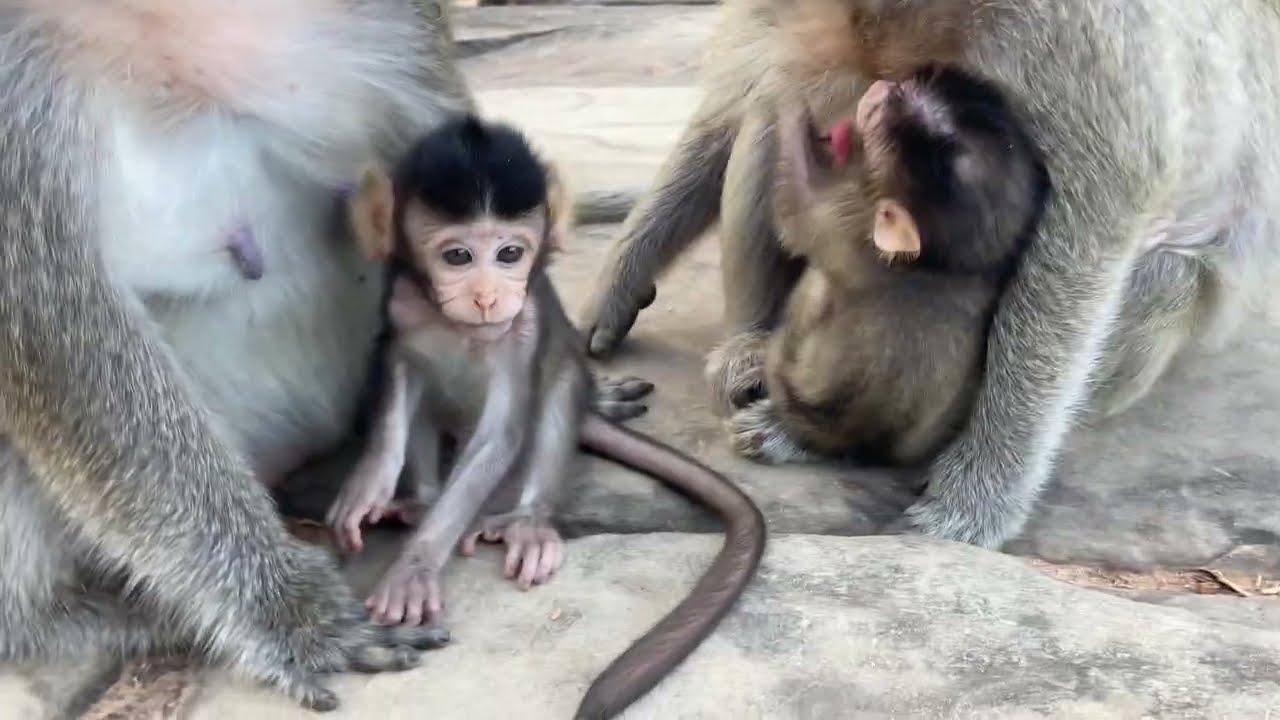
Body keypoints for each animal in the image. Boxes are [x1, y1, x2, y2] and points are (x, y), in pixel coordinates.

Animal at [329, 113, 766, 720]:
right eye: (457, 257)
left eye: (510, 254)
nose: (488, 298)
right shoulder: (401, 308)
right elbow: (399, 374)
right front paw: (369, 484)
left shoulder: (527, 323)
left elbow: (502, 435)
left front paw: (412, 570)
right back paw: (420, 502)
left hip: (558, 387)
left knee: (555, 395)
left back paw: (528, 522)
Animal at [722, 64, 1050, 468]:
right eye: (907, 91)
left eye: (882, 118)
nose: (886, 90)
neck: (937, 263)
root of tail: (848, 439)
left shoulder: (850, 218)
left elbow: (797, 210)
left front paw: (790, 100)